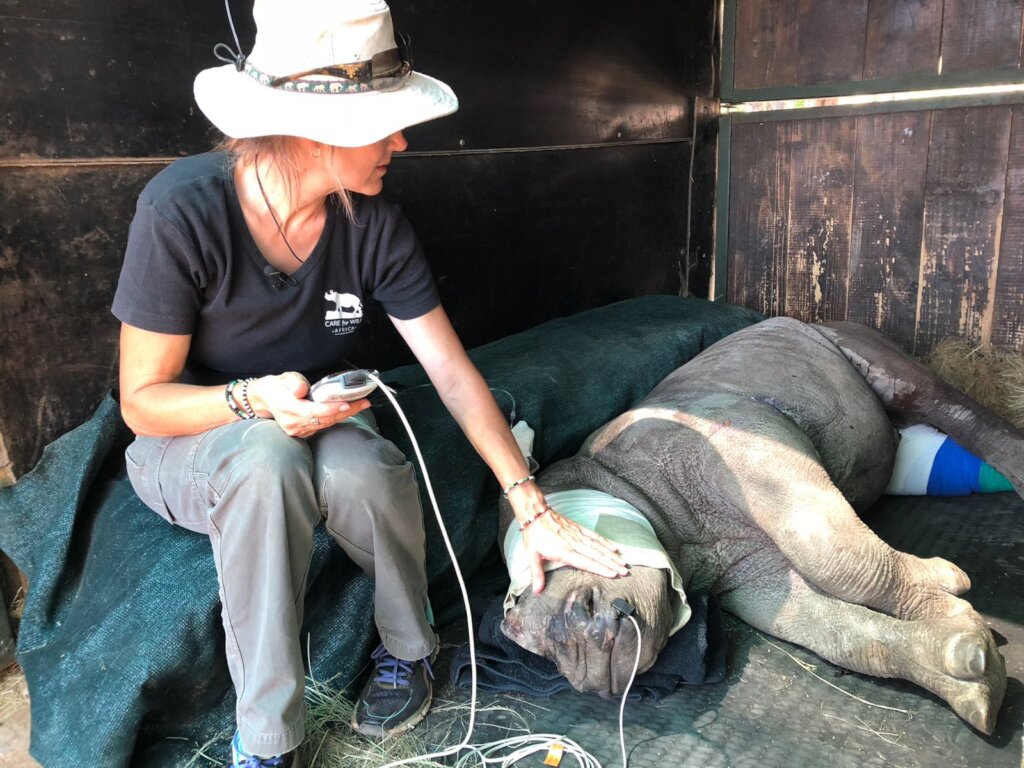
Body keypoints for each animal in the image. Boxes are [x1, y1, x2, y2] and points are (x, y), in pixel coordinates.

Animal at [498, 318, 1020, 734]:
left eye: (585, 600)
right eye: (544, 652)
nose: (587, 659)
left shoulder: (742, 438)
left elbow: (834, 554)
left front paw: (949, 588)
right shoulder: (739, 572)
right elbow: (832, 628)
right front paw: (971, 669)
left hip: (842, 340)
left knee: (918, 390)